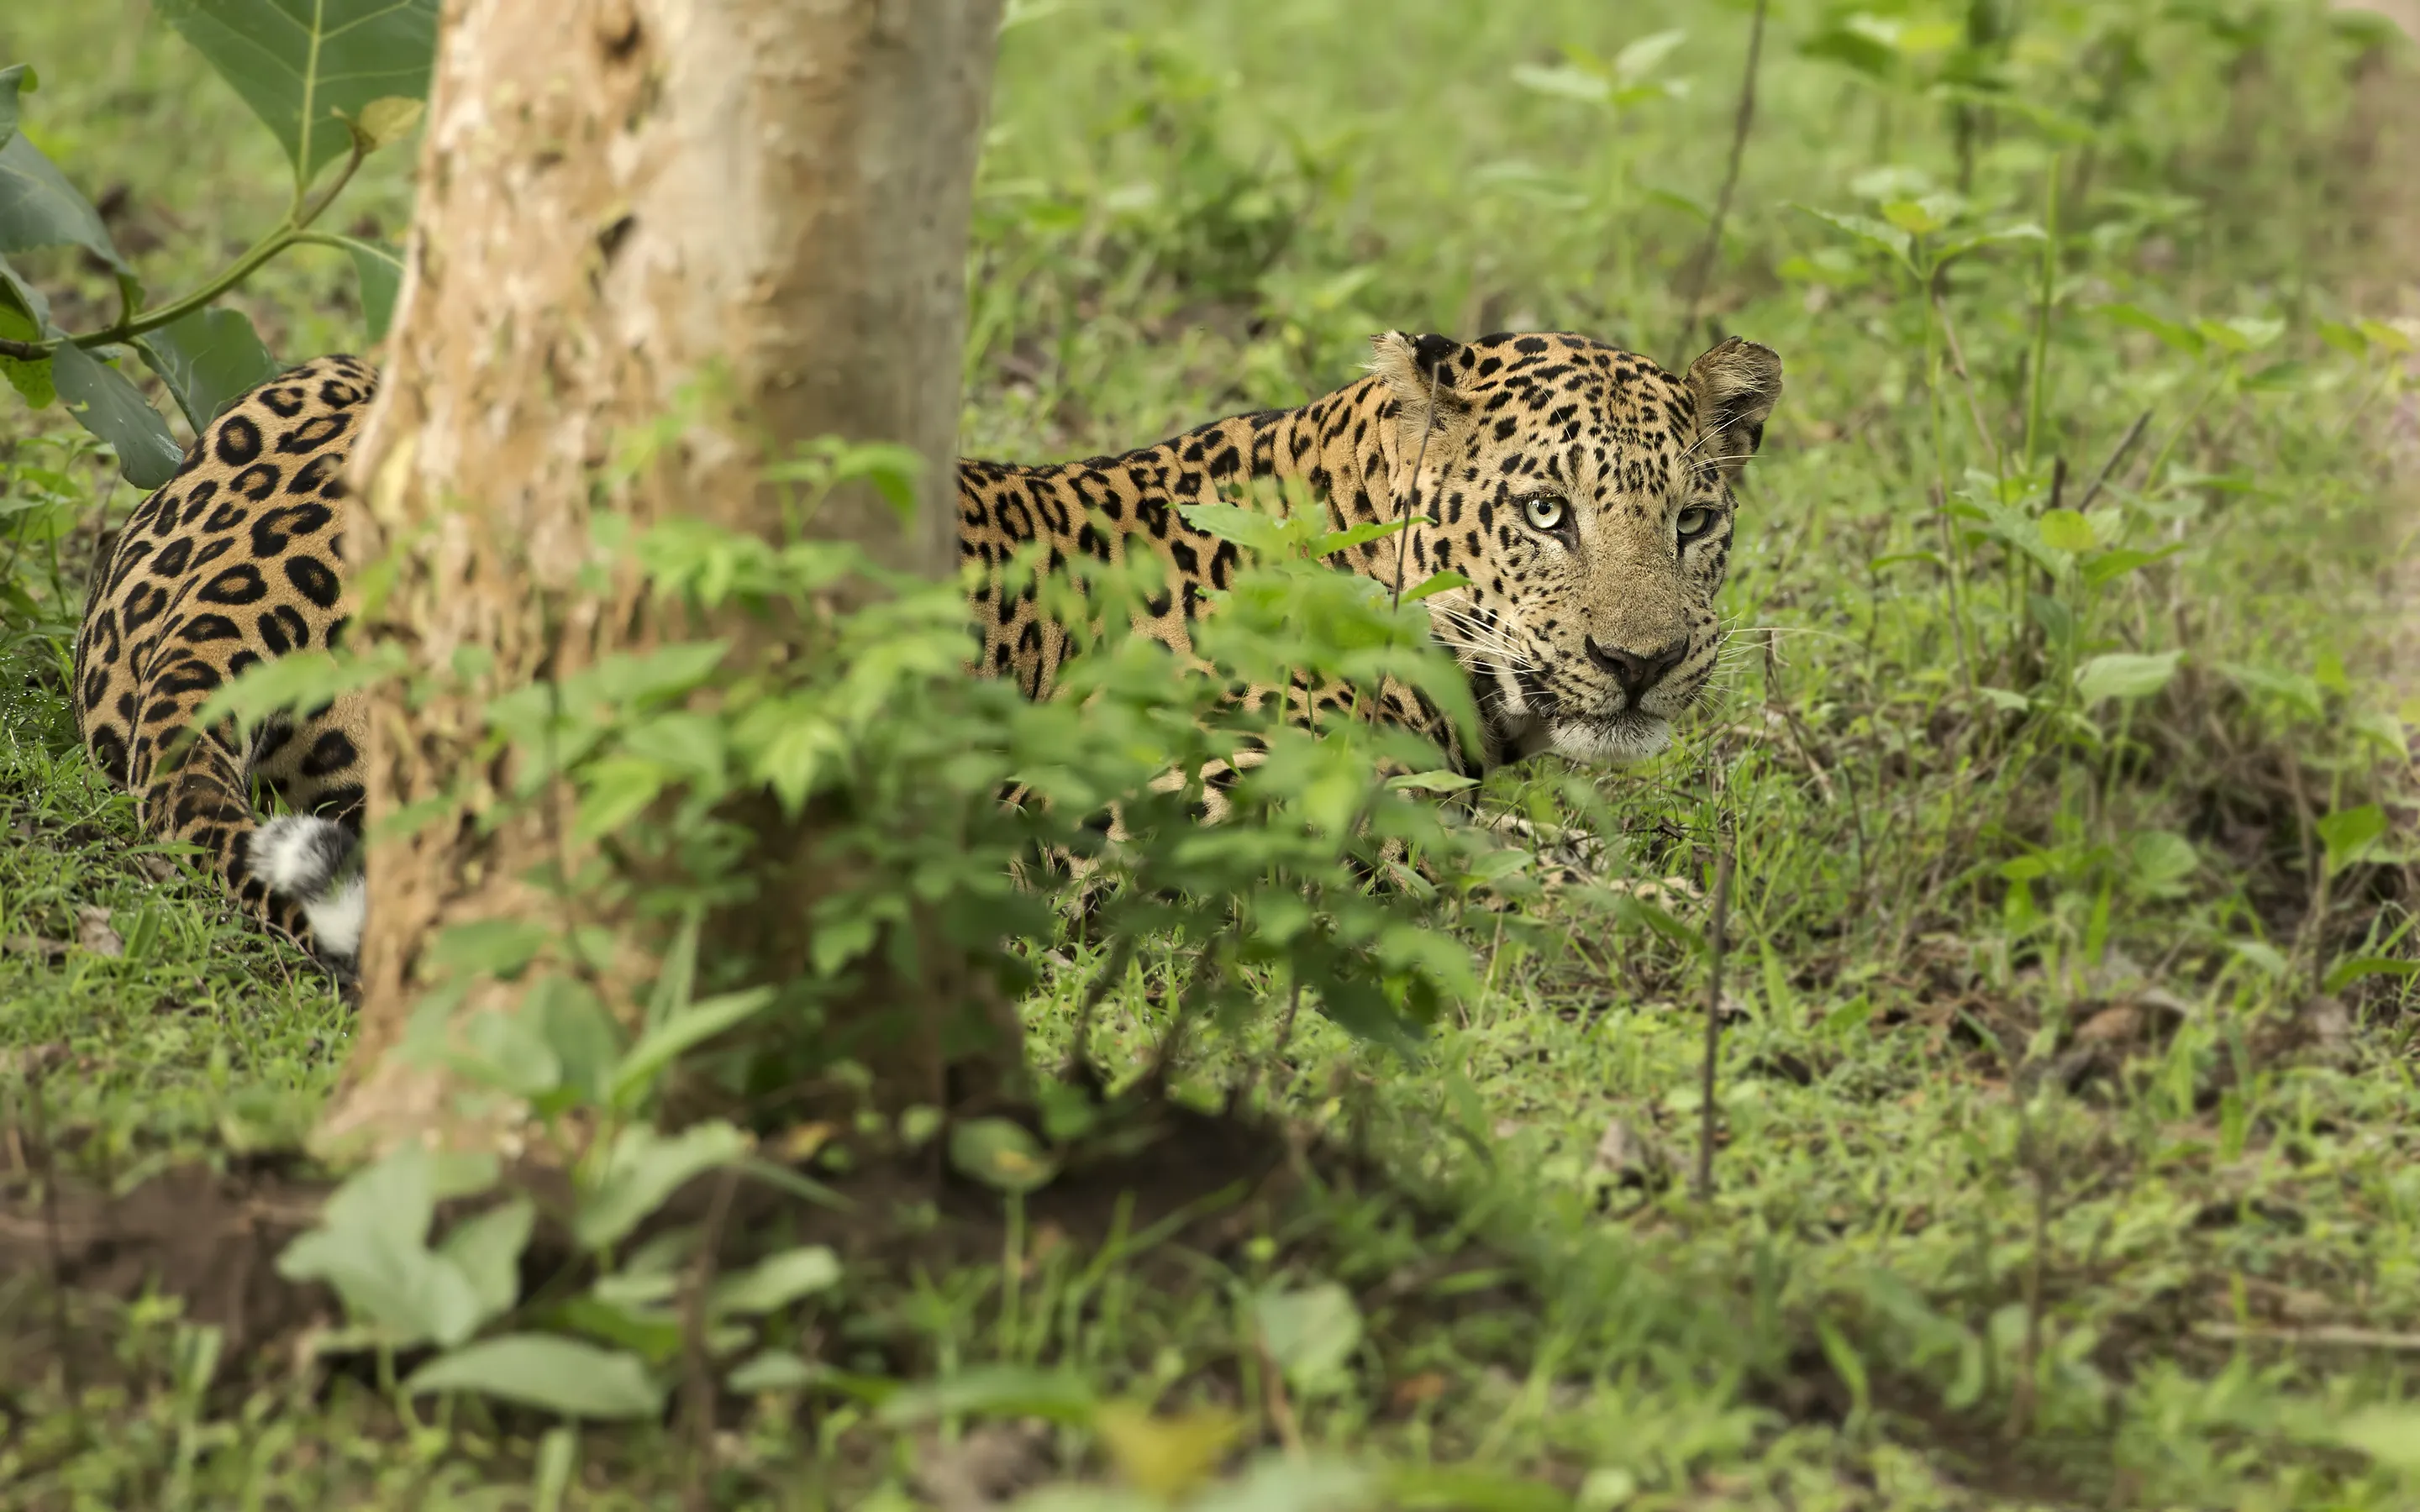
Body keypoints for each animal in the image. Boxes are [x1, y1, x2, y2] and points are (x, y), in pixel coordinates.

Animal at [71, 326, 1781, 977]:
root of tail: (181, 601)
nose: (1640, 664)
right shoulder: (1130, 810)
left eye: (1695, 520)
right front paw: (1694, 920)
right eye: (1547, 512)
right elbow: (1495, 864)